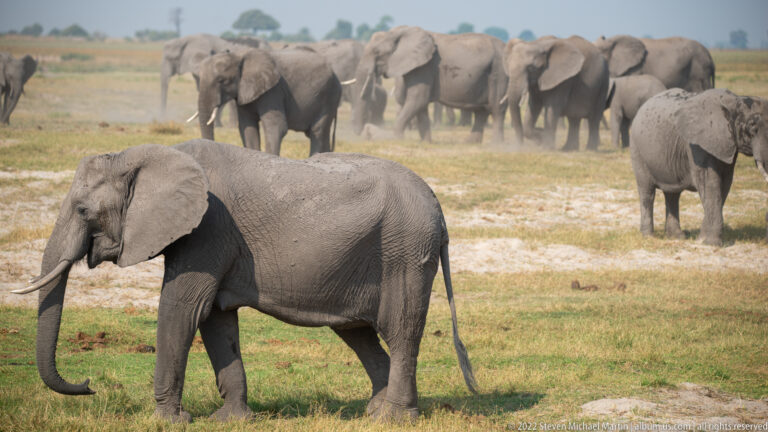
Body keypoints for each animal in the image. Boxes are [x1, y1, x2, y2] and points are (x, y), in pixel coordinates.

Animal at [13, 139, 477, 423]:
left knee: (401, 331)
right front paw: (230, 420)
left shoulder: (207, 229)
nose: (88, 385)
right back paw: (374, 411)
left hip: (406, 252)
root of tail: (438, 206)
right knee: (358, 332)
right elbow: (215, 319)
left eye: (82, 211)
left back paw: (394, 417)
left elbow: (183, 308)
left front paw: (168, 420)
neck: (147, 156)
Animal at [196, 48, 341, 156]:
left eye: (222, 81)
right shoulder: (245, 93)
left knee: (317, 131)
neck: (239, 55)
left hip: (328, 96)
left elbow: (276, 126)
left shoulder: (273, 91)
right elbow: (247, 127)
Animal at [351, 26, 508, 143]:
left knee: (496, 108)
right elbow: (420, 104)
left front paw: (396, 139)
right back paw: (470, 143)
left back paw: (496, 145)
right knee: (481, 111)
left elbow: (418, 100)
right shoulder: (419, 67)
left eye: (377, 52)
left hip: (498, 71)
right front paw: (425, 142)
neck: (400, 32)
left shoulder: (424, 67)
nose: (361, 133)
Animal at [630, 88, 768, 246]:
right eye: (752, 128)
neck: (734, 100)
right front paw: (711, 243)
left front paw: (701, 239)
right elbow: (710, 184)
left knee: (672, 195)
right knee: (647, 192)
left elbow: (725, 184)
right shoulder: (696, 145)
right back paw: (648, 237)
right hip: (637, 150)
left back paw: (677, 237)